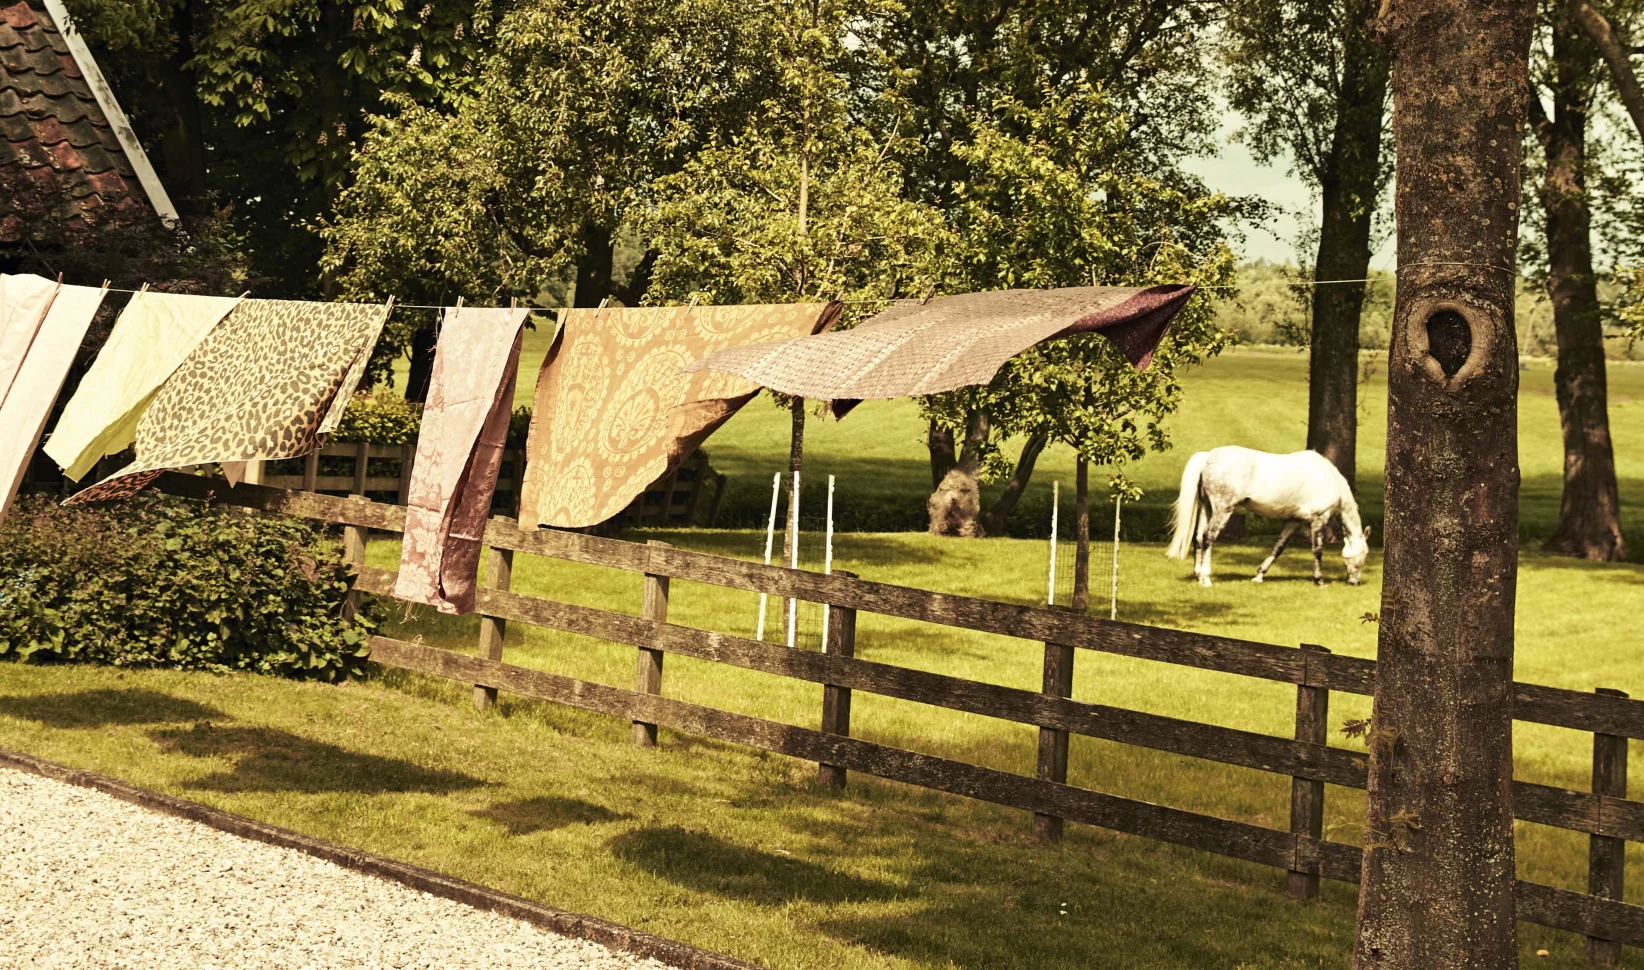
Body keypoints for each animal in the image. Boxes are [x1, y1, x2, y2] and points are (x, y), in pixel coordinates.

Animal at [1163, 447, 1367, 588]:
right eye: (1363, 556)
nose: (1354, 582)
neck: (1329, 478)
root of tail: (1208, 457)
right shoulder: (1319, 519)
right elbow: (1317, 550)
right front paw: (1320, 580)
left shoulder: (1293, 521)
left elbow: (1278, 548)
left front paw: (1259, 575)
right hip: (1222, 509)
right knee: (1208, 538)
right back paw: (1206, 579)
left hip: (1207, 508)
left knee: (1198, 538)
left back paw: (1198, 575)